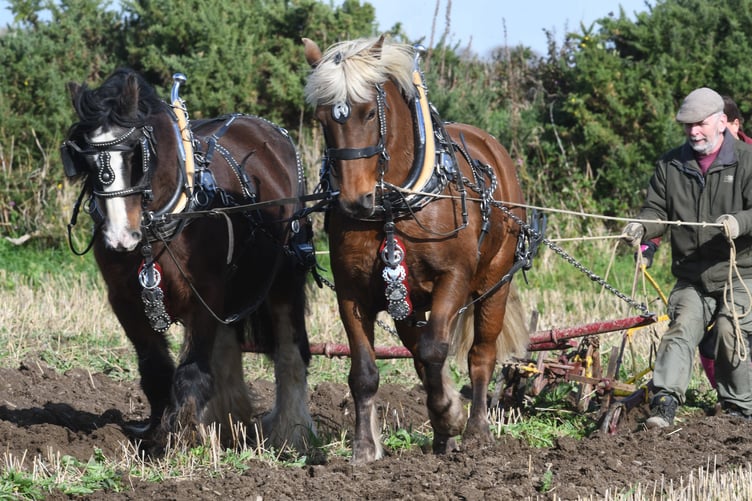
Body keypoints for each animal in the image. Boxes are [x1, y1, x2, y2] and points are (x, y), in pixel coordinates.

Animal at [61, 68, 316, 451]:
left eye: (136, 154)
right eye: (87, 161)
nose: (120, 238)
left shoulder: (204, 294)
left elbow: (192, 370)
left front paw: (181, 436)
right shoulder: (124, 300)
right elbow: (155, 369)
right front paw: (158, 433)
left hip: (285, 275)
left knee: (290, 351)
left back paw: (291, 430)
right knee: (227, 351)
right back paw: (228, 422)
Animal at [303, 36, 530, 463]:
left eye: (367, 113)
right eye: (323, 119)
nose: (355, 201)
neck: (393, 208)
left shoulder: (453, 278)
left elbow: (436, 350)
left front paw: (451, 415)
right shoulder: (351, 293)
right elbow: (365, 371)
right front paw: (364, 447)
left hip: (494, 283)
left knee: (479, 354)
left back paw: (474, 430)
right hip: (408, 301)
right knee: (418, 351)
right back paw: (444, 437)